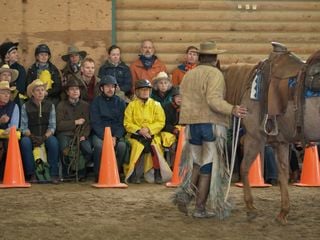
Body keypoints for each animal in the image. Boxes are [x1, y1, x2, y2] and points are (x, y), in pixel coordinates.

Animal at [222, 45, 320, 225]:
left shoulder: (254, 138)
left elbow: (244, 167)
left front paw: (250, 208)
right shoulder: (281, 143)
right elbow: (283, 173)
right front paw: (283, 212)